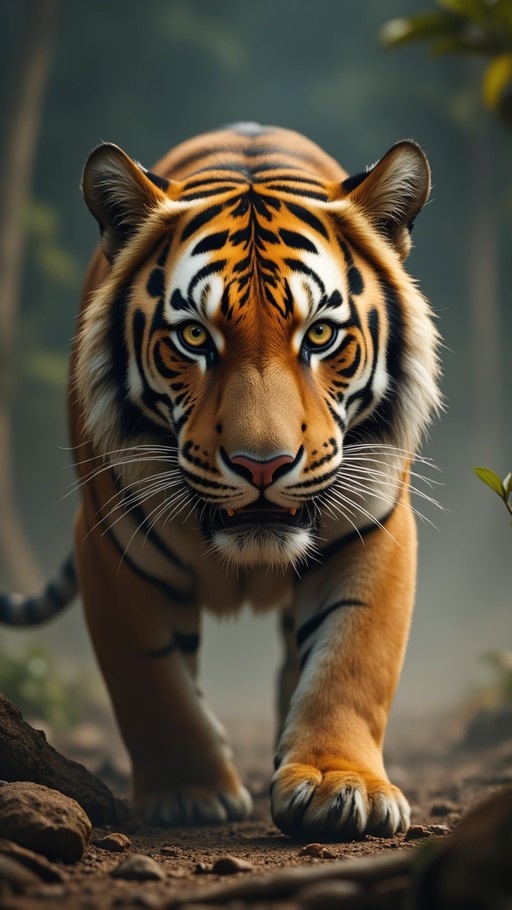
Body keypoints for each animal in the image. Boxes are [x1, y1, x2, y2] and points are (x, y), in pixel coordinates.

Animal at [0, 123, 441, 840]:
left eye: (321, 334)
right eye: (193, 338)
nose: (262, 465)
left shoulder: (375, 527)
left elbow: (352, 661)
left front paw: (337, 783)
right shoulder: (111, 543)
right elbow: (151, 682)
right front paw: (190, 792)